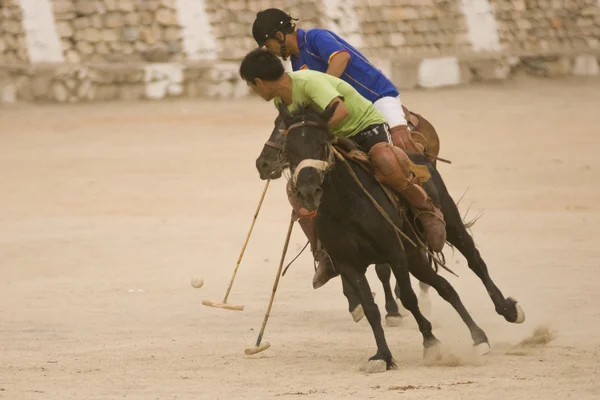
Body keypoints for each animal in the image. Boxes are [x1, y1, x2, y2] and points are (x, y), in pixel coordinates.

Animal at [276, 101, 496, 370]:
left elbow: (409, 298)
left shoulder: (395, 252)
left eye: (322, 143)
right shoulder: (348, 263)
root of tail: (420, 155)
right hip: (415, 256)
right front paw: (383, 355)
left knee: (475, 261)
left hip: (450, 224)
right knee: (445, 286)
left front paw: (430, 343)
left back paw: (506, 312)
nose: (308, 193)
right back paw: (478, 337)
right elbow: (371, 309)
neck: (346, 207)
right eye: (288, 149)